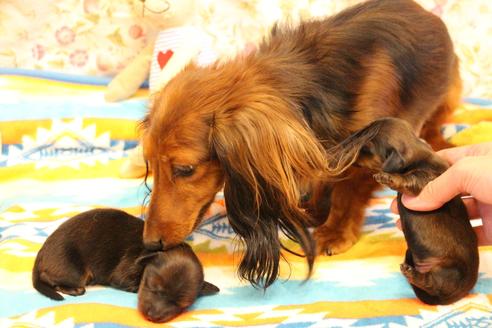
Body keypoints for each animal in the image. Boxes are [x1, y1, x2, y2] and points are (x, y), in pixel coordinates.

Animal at [33, 209, 219, 316]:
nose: (152, 316)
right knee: (48, 277)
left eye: (181, 305)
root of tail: (41, 254)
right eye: (152, 286)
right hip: (74, 271)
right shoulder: (123, 273)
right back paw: (72, 289)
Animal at [328, 118, 478, 304]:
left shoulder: (427, 180)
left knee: (431, 283)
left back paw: (411, 273)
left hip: (449, 271)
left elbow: (411, 179)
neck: (417, 153)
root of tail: (461, 292)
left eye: (367, 148)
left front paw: (387, 177)